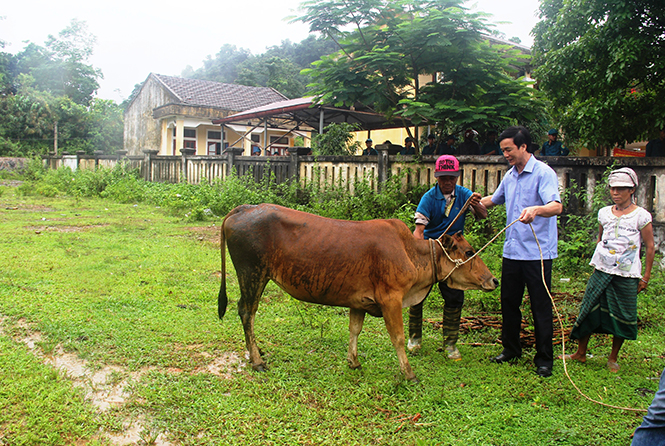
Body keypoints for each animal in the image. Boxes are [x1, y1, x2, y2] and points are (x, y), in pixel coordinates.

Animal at [219, 204, 498, 382]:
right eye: (469, 251)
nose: (494, 280)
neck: (410, 253)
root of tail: (243, 208)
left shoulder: (358, 301)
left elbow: (354, 330)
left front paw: (353, 361)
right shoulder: (391, 299)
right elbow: (397, 337)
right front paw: (409, 374)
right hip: (252, 273)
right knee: (246, 311)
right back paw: (257, 360)